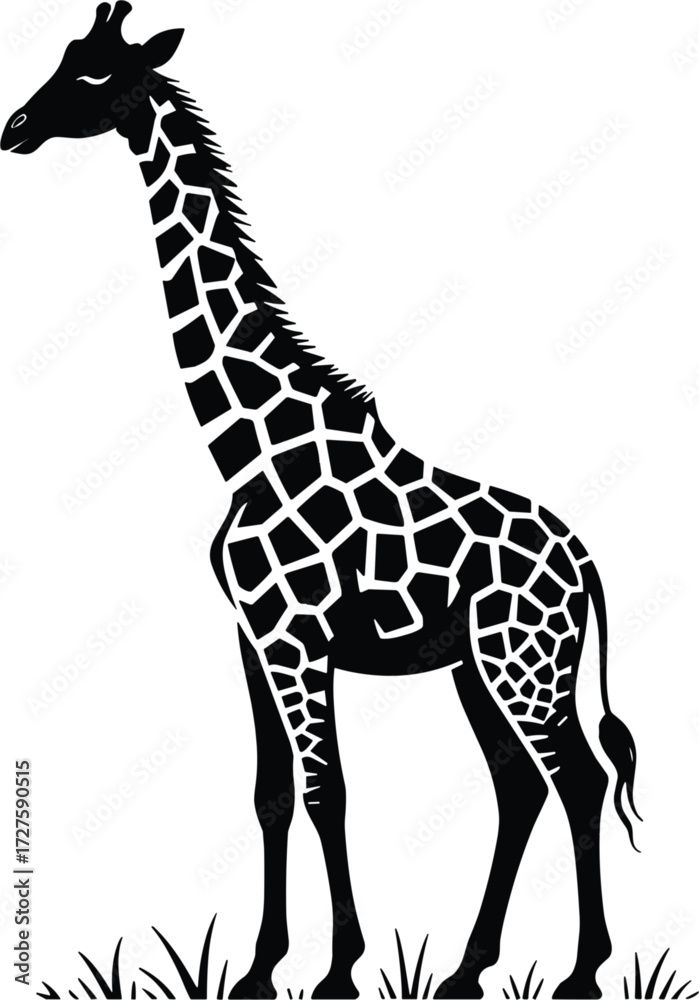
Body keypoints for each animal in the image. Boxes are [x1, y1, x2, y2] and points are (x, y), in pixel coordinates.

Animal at [2, 5, 641, 998]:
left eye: (97, 76)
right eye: (64, 57)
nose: (14, 128)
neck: (245, 448)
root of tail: (585, 563)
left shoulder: (296, 637)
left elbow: (324, 790)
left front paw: (338, 967)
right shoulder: (252, 635)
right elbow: (271, 795)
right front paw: (261, 968)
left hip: (522, 660)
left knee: (573, 777)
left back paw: (580, 972)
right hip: (477, 664)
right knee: (519, 784)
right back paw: (466, 969)